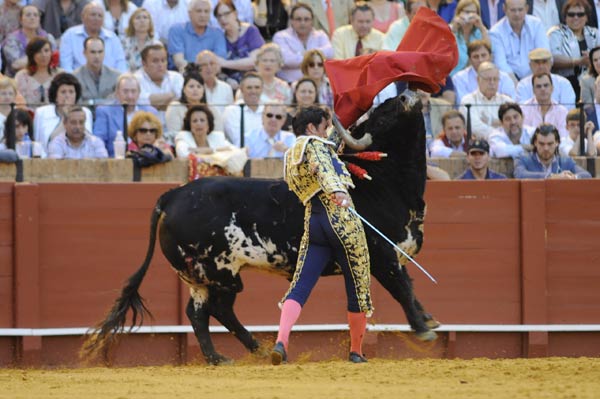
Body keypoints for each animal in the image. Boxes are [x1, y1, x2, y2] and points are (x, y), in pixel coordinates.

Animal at [83, 96, 440, 366]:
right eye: (386, 113)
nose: (409, 94)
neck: (385, 184)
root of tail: (171, 195)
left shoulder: (390, 257)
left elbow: (407, 285)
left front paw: (428, 319)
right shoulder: (379, 255)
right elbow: (401, 288)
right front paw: (423, 328)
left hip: (201, 277)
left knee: (201, 312)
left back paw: (239, 353)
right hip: (220, 272)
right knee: (213, 310)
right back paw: (239, 353)